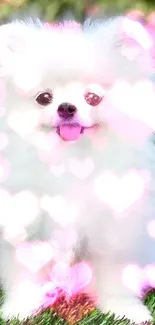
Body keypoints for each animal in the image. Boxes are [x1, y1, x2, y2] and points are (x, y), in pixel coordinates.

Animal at [0, 17, 154, 322]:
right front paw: (20, 309)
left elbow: (115, 277)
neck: (71, 161)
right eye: (43, 97)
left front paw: (126, 311)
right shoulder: (25, 224)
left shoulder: (113, 228)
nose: (66, 108)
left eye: (93, 97)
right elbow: (24, 275)